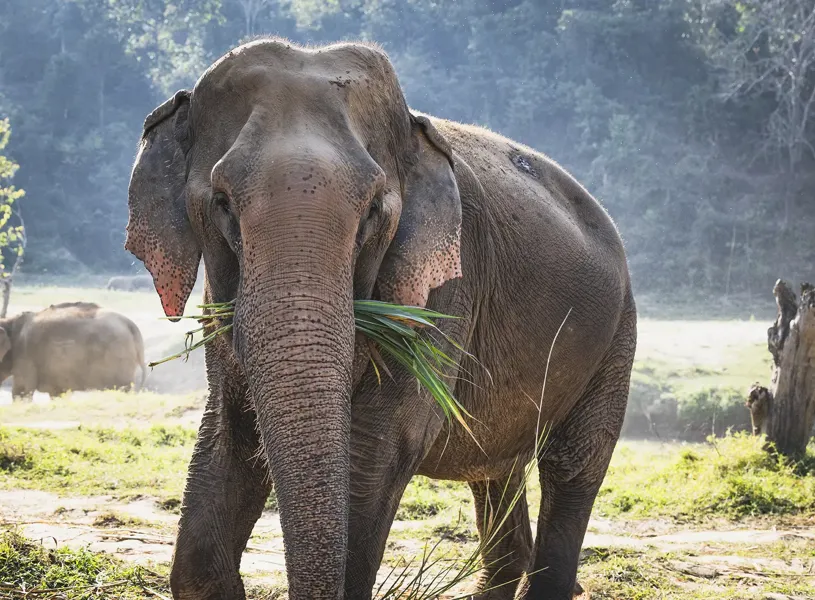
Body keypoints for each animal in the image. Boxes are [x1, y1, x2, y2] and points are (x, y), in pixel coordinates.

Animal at [0, 301, 147, 398]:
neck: (10, 322)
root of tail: (131, 325)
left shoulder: (25, 355)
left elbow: (21, 391)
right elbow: (57, 393)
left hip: (117, 357)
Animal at [125, 39, 637, 600]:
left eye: (372, 211)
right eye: (221, 203)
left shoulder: (444, 291)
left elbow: (377, 450)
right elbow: (229, 439)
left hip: (618, 332)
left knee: (574, 462)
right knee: (497, 469)